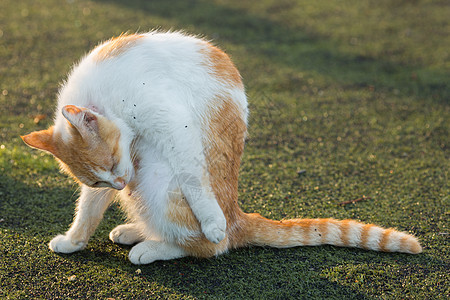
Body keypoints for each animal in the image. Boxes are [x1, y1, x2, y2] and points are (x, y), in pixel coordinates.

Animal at [21, 31, 422, 264]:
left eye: (113, 162)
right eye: (98, 181)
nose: (119, 185)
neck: (103, 92)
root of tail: (237, 214)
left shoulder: (172, 124)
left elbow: (195, 182)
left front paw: (210, 221)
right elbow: (87, 210)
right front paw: (74, 241)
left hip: (155, 177)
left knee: (213, 246)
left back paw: (159, 245)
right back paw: (138, 231)